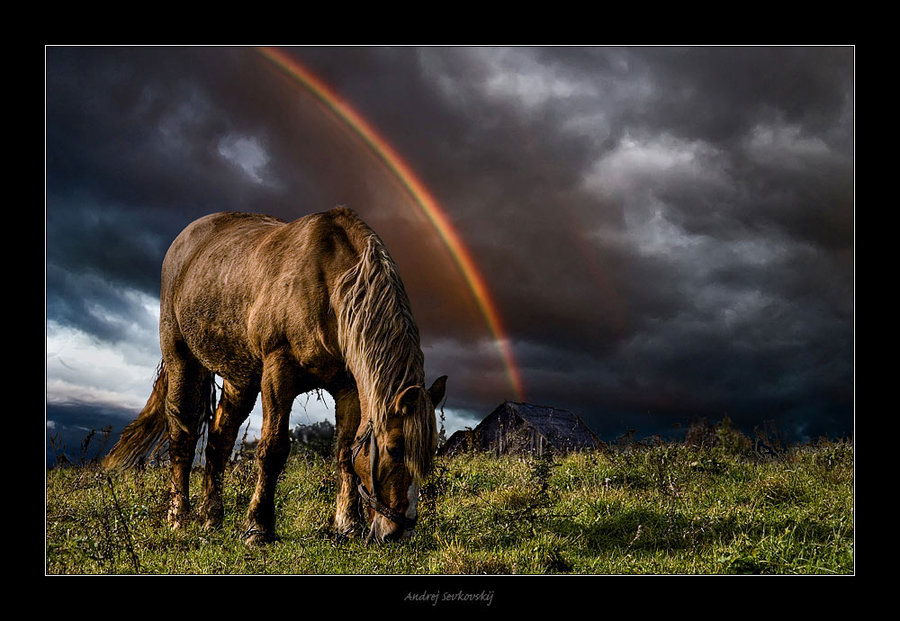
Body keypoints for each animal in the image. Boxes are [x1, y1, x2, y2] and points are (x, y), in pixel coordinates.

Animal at [103, 208, 448, 544]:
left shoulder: (347, 387)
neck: (330, 286)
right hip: (182, 361)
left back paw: (211, 518)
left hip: (239, 380)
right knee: (182, 438)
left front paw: (348, 525)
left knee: (218, 442)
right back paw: (179, 517)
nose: (399, 531)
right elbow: (273, 449)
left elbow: (345, 452)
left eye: (429, 454)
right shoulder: (278, 371)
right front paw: (258, 528)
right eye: (394, 449)